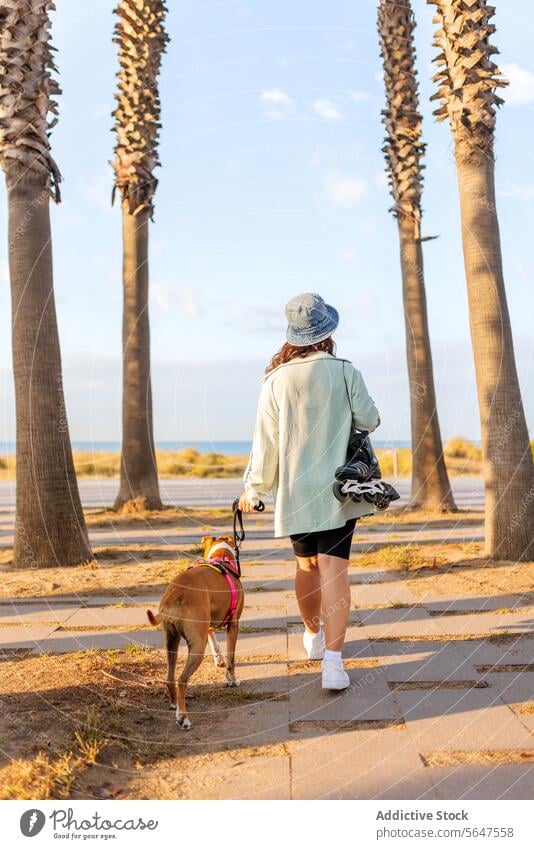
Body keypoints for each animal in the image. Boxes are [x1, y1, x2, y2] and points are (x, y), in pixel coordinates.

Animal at [149, 532, 245, 724]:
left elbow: (215, 642)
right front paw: (232, 680)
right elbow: (231, 658)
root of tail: (174, 595)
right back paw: (183, 717)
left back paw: (174, 705)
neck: (221, 557)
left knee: (170, 678)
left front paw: (218, 660)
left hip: (171, 641)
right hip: (197, 647)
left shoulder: (207, 626)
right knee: (181, 680)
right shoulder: (234, 624)